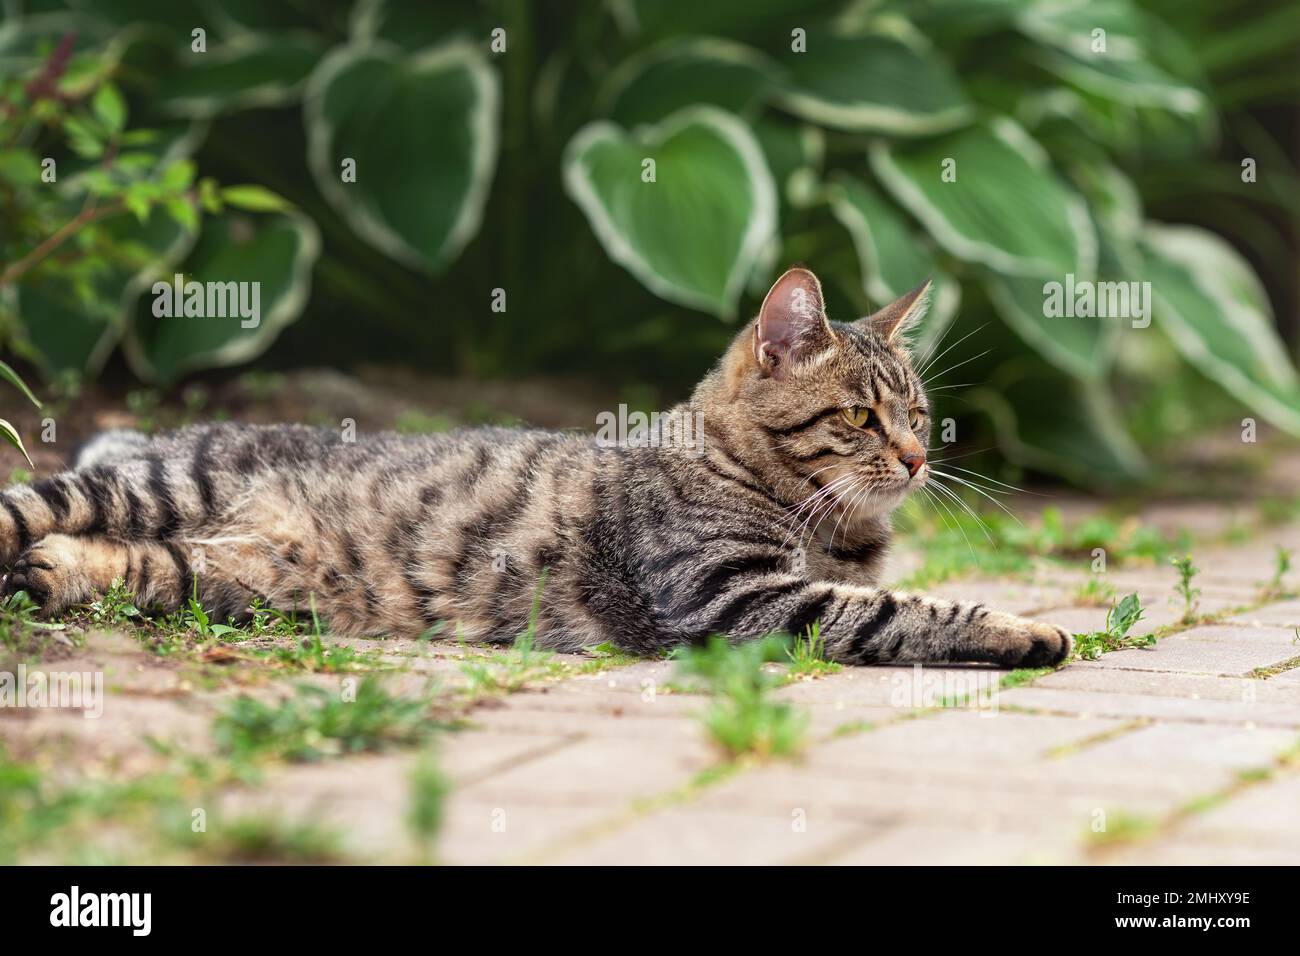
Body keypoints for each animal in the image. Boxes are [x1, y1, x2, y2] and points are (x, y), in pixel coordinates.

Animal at [2, 265, 1066, 671]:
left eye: (918, 414)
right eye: (858, 417)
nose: (919, 458)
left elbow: (897, 600)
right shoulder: (732, 600)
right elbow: (902, 613)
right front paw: (1025, 629)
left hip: (224, 577)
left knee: (126, 563)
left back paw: (51, 575)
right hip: (150, 488)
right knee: (25, 502)